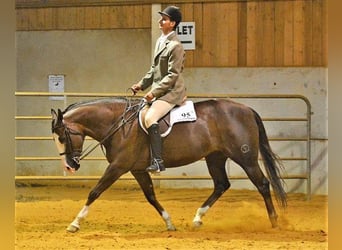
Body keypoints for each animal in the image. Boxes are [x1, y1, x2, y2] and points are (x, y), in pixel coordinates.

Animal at [50, 96, 286, 232]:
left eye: (62, 137)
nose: (70, 166)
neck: (118, 124)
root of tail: (246, 109)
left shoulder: (118, 167)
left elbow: (95, 192)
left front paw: (75, 223)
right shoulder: (136, 169)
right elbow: (151, 196)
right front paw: (169, 223)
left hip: (245, 158)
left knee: (262, 184)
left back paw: (274, 221)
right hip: (215, 157)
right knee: (221, 185)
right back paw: (197, 218)